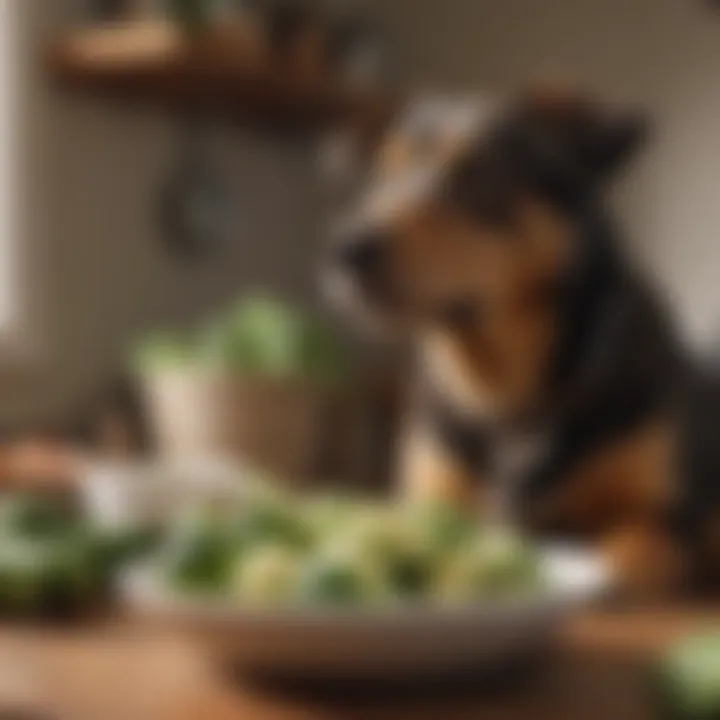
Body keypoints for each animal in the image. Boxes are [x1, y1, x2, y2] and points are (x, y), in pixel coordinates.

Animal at [328, 88, 720, 596]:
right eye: (382, 174)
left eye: (479, 174)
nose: (344, 250)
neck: (506, 397)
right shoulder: (430, 501)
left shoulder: (663, 520)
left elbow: (623, 557)